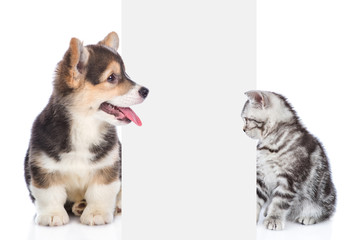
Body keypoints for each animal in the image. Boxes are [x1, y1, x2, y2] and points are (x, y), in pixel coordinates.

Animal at [23, 31, 148, 225]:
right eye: (111, 77)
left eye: (125, 73)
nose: (146, 91)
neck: (85, 125)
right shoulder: (43, 166)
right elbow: (50, 194)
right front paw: (52, 215)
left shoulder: (108, 166)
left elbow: (100, 192)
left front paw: (96, 213)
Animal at [242, 90, 338, 231]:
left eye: (246, 119)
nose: (243, 129)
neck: (271, 142)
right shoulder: (261, 176)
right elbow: (256, 196)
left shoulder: (289, 178)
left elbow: (280, 201)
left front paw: (274, 218)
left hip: (323, 195)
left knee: (327, 211)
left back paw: (310, 217)